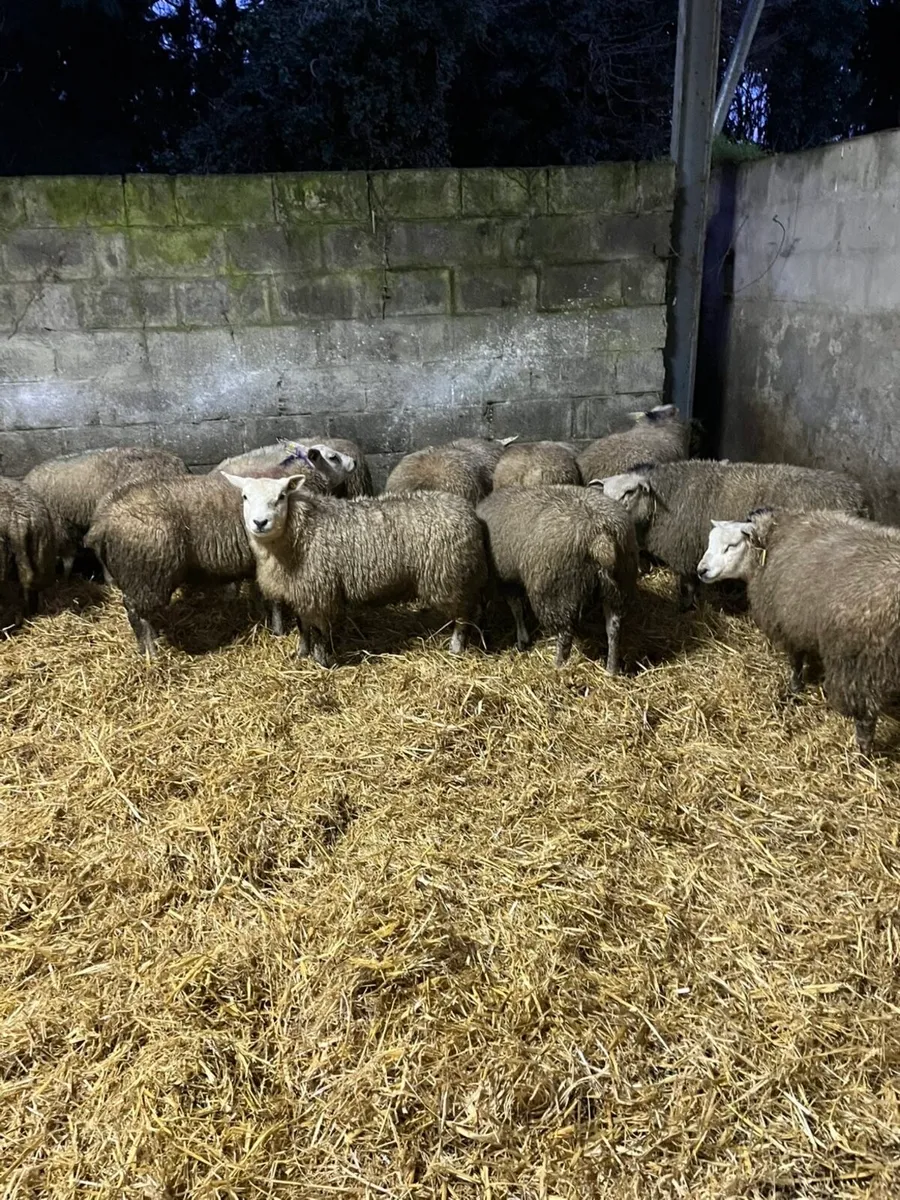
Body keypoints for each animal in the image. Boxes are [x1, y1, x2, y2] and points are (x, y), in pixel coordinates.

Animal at [222, 473, 488, 666]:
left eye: (281, 496)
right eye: (244, 496)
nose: (260, 522)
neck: (302, 532)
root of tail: (467, 510)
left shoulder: (320, 592)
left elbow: (320, 631)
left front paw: (322, 662)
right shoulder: (299, 590)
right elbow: (303, 627)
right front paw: (301, 654)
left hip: (450, 577)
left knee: (464, 616)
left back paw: (456, 648)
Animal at [476, 484, 637, 671]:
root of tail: (600, 536)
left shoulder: (506, 578)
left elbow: (516, 608)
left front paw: (522, 640)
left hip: (557, 590)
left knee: (565, 633)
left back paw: (558, 665)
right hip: (620, 585)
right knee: (613, 627)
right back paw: (611, 668)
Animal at [697, 507, 900, 755]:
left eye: (732, 545)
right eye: (710, 541)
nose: (701, 571)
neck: (772, 540)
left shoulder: (787, 623)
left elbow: (795, 661)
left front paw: (794, 690)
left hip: (860, 663)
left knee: (865, 718)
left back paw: (862, 755)